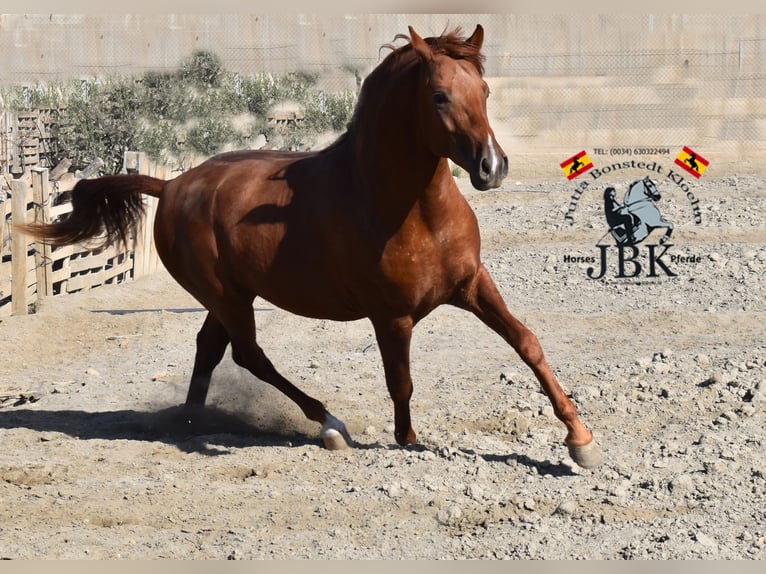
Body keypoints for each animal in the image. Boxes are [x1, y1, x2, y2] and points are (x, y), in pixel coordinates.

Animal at [21, 24, 604, 470]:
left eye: (485, 91)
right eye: (439, 96)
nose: (492, 167)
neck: (408, 208)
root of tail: (172, 186)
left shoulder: (472, 284)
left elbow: (527, 342)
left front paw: (580, 441)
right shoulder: (390, 316)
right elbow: (401, 382)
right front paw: (408, 440)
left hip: (229, 296)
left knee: (210, 347)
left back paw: (192, 422)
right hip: (226, 296)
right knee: (249, 354)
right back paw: (329, 425)